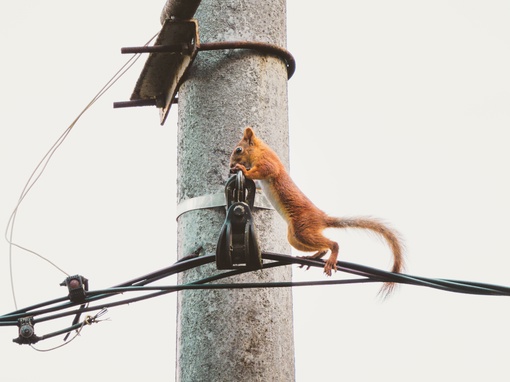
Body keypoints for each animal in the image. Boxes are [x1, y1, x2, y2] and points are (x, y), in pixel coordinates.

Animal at [229, 127, 404, 296]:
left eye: (238, 150)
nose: (230, 167)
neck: (261, 150)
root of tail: (322, 218)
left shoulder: (268, 163)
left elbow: (263, 171)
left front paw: (243, 169)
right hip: (295, 237)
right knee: (323, 248)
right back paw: (312, 256)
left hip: (303, 229)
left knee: (333, 244)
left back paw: (331, 256)